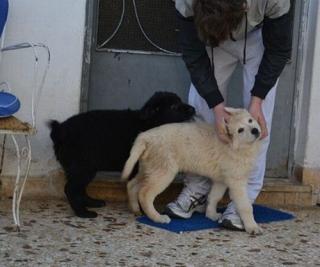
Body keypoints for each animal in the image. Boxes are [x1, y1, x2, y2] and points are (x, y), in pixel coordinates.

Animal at [49, 93, 195, 219]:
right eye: (174, 106)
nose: (193, 109)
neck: (148, 122)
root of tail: (60, 130)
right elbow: (139, 190)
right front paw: (143, 211)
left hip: (84, 169)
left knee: (79, 189)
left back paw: (91, 203)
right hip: (82, 167)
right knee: (70, 189)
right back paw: (83, 213)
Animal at [122, 108, 262, 236]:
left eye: (250, 120)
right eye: (240, 130)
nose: (255, 130)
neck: (237, 146)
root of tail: (145, 136)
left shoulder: (221, 179)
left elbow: (214, 197)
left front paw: (211, 214)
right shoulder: (236, 181)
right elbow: (245, 206)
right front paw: (252, 227)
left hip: (149, 169)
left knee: (132, 184)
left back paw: (135, 209)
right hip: (163, 172)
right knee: (145, 194)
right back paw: (157, 217)